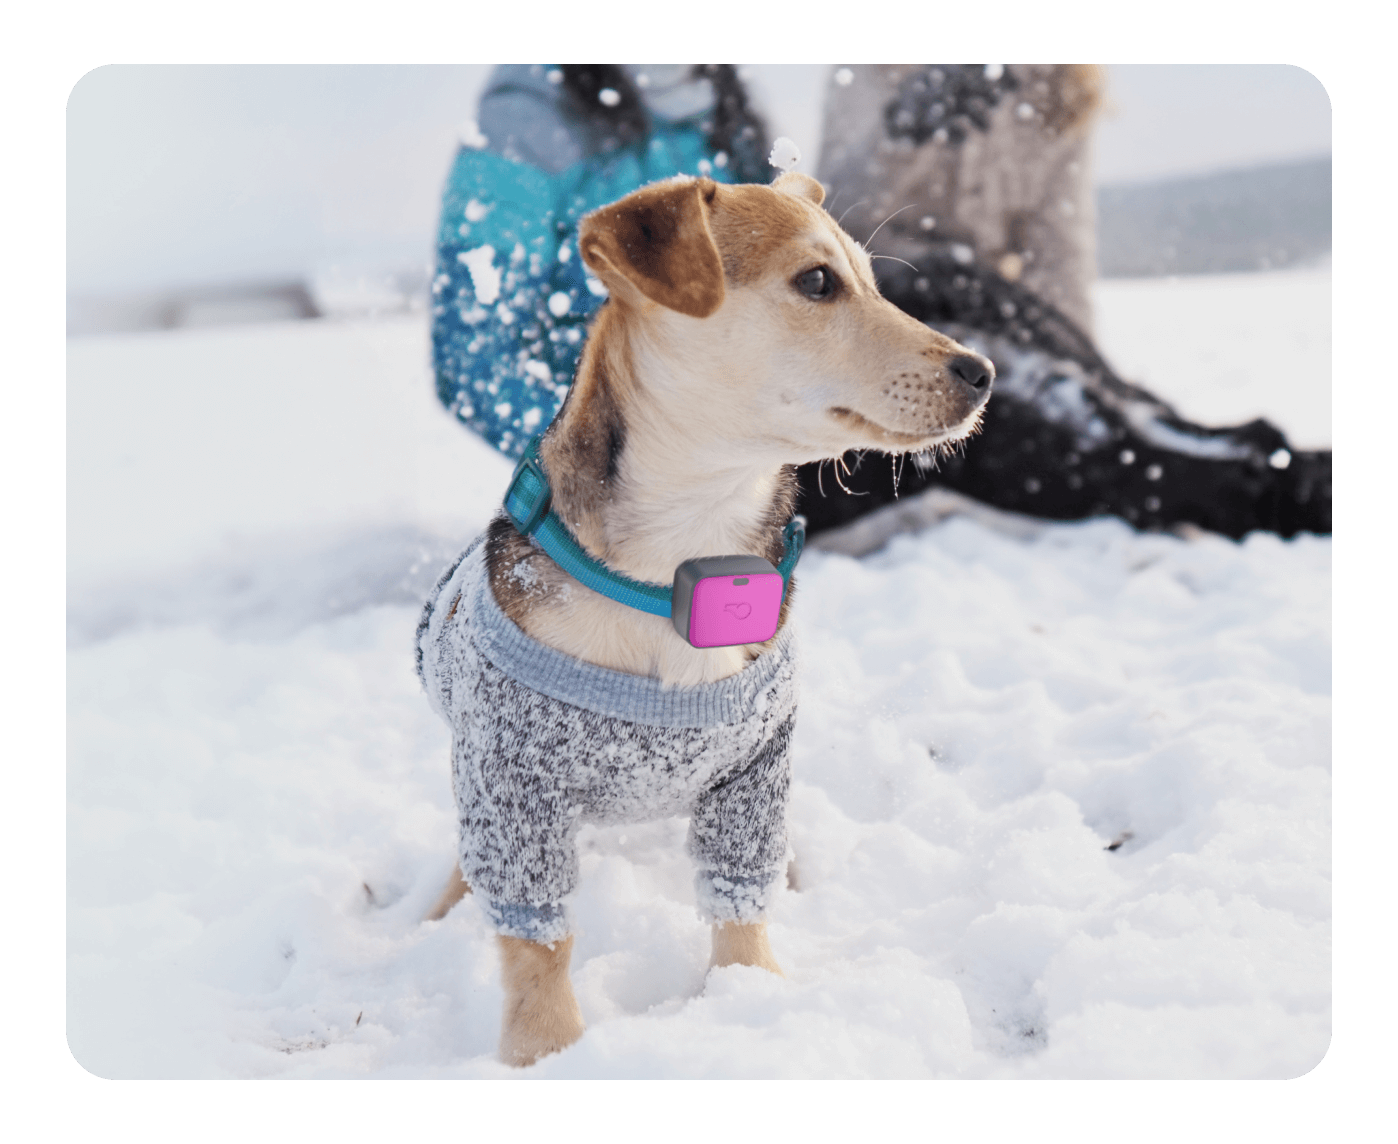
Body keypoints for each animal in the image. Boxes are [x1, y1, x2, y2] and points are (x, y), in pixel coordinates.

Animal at [416, 169, 995, 1062]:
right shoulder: (510, 782)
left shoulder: (755, 772)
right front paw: (547, 1048)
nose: (983, 372)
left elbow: (739, 897)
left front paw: (749, 997)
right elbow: (539, 937)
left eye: (874, 281)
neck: (683, 559)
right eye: (817, 282)